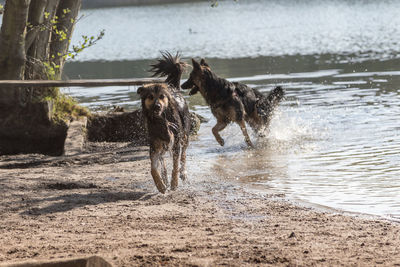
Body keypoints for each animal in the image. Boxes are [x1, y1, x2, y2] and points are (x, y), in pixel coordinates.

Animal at [138, 52, 191, 195]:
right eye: (150, 97)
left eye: (162, 96)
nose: (157, 106)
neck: (160, 121)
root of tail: (173, 87)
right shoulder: (155, 145)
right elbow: (153, 169)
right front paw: (161, 185)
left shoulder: (176, 142)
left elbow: (175, 165)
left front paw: (174, 184)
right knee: (163, 162)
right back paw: (165, 179)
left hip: (184, 135)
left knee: (183, 155)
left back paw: (183, 173)